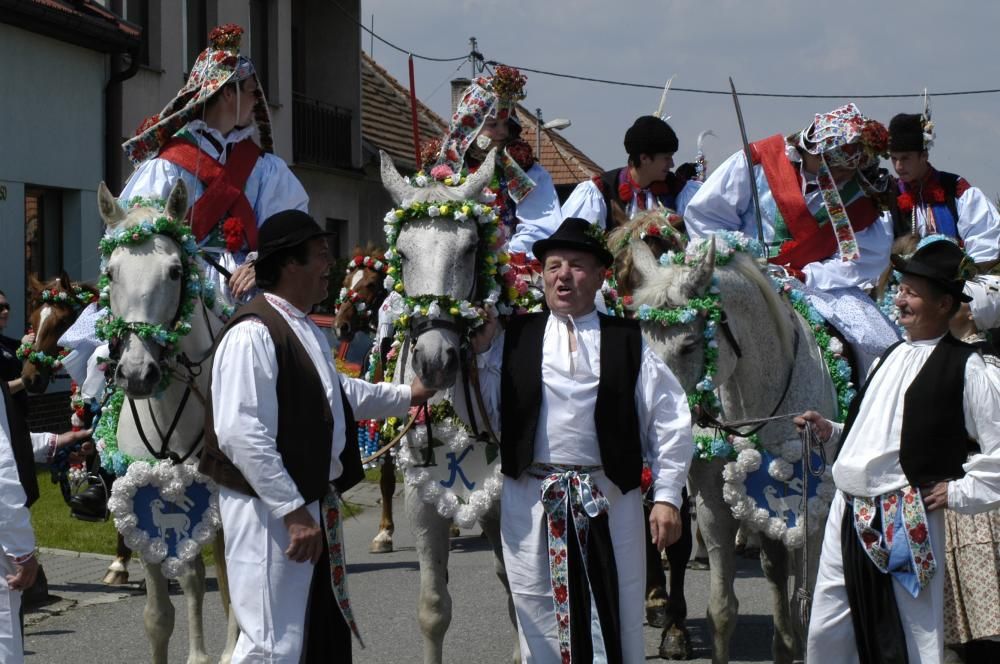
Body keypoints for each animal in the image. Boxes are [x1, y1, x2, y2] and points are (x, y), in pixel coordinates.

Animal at [97, 179, 238, 660]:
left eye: (175, 271)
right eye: (111, 273)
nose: (138, 373)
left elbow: (205, 579)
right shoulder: (141, 500)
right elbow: (159, 614)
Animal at [378, 152, 524, 664]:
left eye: (469, 250)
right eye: (402, 253)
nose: (434, 360)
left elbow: (517, 586)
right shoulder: (421, 500)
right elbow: (433, 608)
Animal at [616, 224, 836, 664]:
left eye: (688, 344)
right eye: (642, 342)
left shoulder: (812, 514)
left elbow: (808, 603)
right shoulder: (714, 506)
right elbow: (721, 610)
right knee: (773, 567)